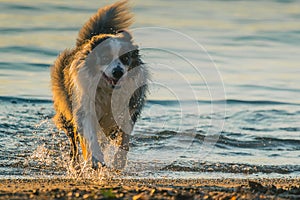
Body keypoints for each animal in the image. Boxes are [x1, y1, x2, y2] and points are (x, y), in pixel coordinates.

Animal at [50, 0, 148, 170]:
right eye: (105, 58)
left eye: (125, 58)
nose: (118, 72)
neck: (109, 91)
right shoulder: (85, 109)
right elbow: (90, 135)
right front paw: (96, 159)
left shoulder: (128, 110)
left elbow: (124, 139)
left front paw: (118, 161)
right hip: (66, 109)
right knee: (74, 141)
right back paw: (76, 164)